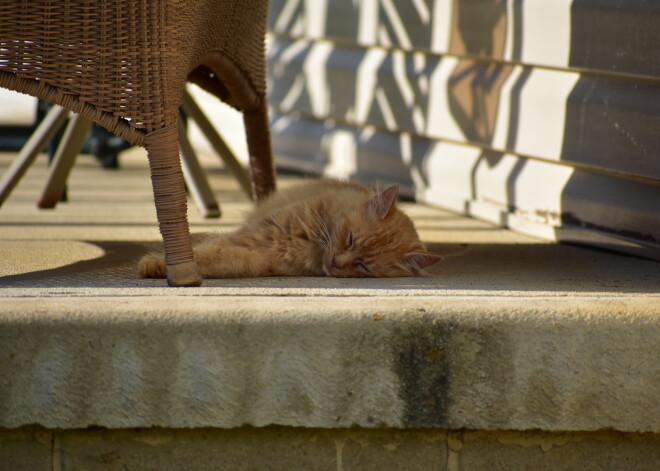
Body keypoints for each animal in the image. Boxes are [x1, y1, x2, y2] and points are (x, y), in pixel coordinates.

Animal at [137, 179, 440, 278]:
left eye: (364, 267)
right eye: (351, 239)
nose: (336, 262)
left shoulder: (254, 258)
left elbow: (213, 257)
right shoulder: (251, 235)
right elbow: (205, 249)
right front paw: (157, 264)